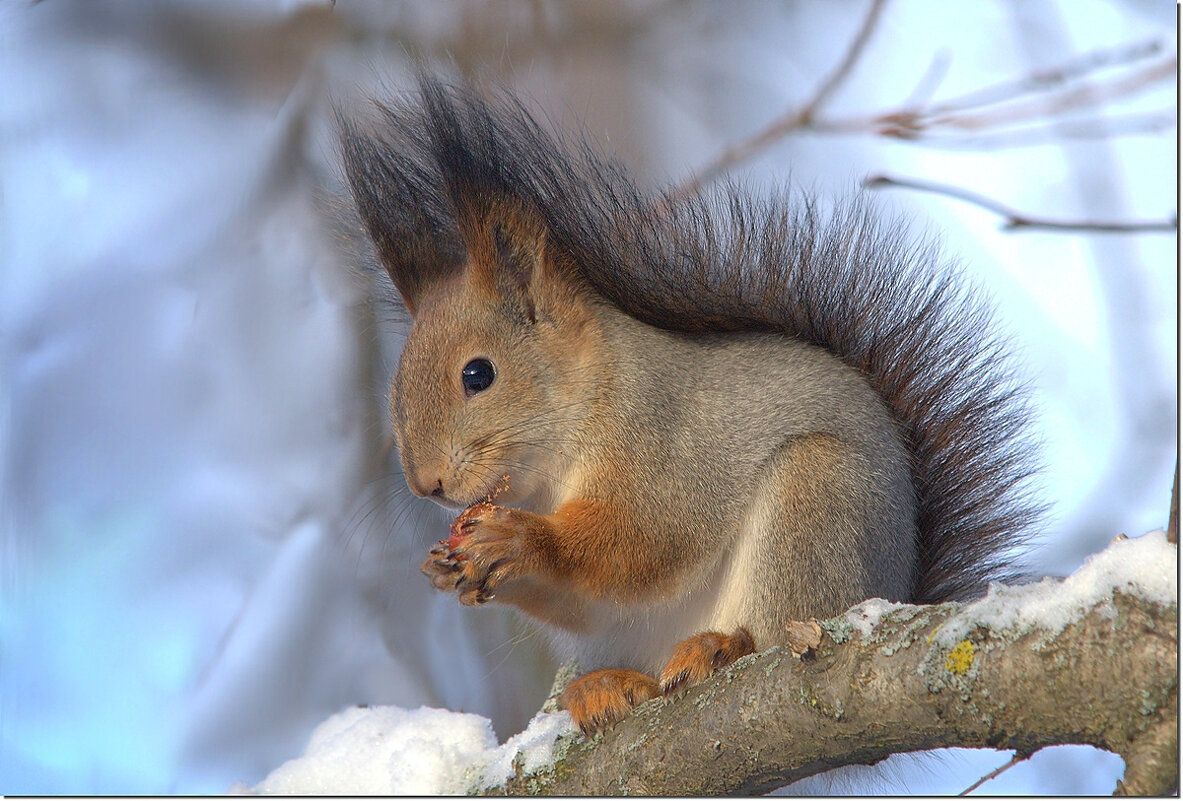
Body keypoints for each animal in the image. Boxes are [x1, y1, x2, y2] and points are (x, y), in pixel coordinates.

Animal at [338, 75, 1041, 738]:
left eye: (478, 374)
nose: (426, 485)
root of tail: (895, 593)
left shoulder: (664, 439)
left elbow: (646, 536)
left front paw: (522, 539)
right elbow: (592, 594)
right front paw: (444, 567)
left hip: (817, 507)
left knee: (773, 622)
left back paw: (722, 646)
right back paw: (605, 685)